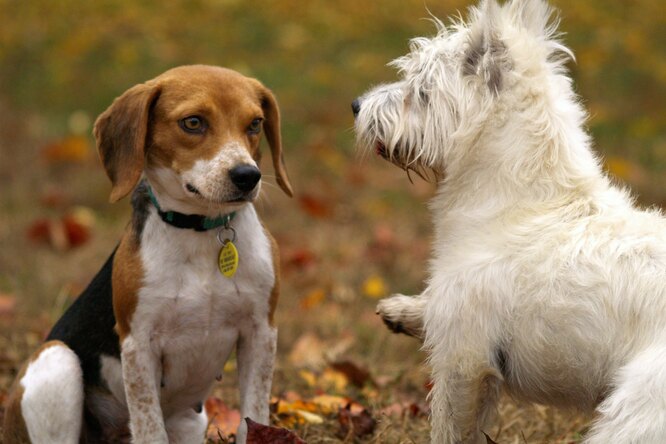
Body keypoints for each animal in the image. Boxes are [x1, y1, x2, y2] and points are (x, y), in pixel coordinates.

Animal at [2, 66, 292, 444]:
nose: (248, 176)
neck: (200, 231)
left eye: (255, 123)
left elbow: (253, 416)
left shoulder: (261, 333)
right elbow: (150, 428)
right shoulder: (138, 345)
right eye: (193, 122)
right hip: (57, 360)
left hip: (192, 421)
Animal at [352, 1, 664, 442]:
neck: (528, 203)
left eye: (421, 90)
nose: (356, 105)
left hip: (637, 413)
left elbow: (449, 427)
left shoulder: (464, 359)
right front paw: (405, 310)